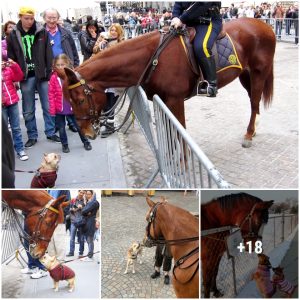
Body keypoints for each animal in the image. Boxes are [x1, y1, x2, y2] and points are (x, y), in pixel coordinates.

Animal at [60, 17, 274, 148]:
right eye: (68, 102)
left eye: (79, 100)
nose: (87, 134)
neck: (152, 58)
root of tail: (265, 26)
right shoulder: (162, 101)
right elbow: (171, 135)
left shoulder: (175, 100)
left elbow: (180, 134)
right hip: (245, 75)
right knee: (253, 102)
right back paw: (254, 129)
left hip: (259, 73)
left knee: (255, 100)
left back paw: (249, 134)